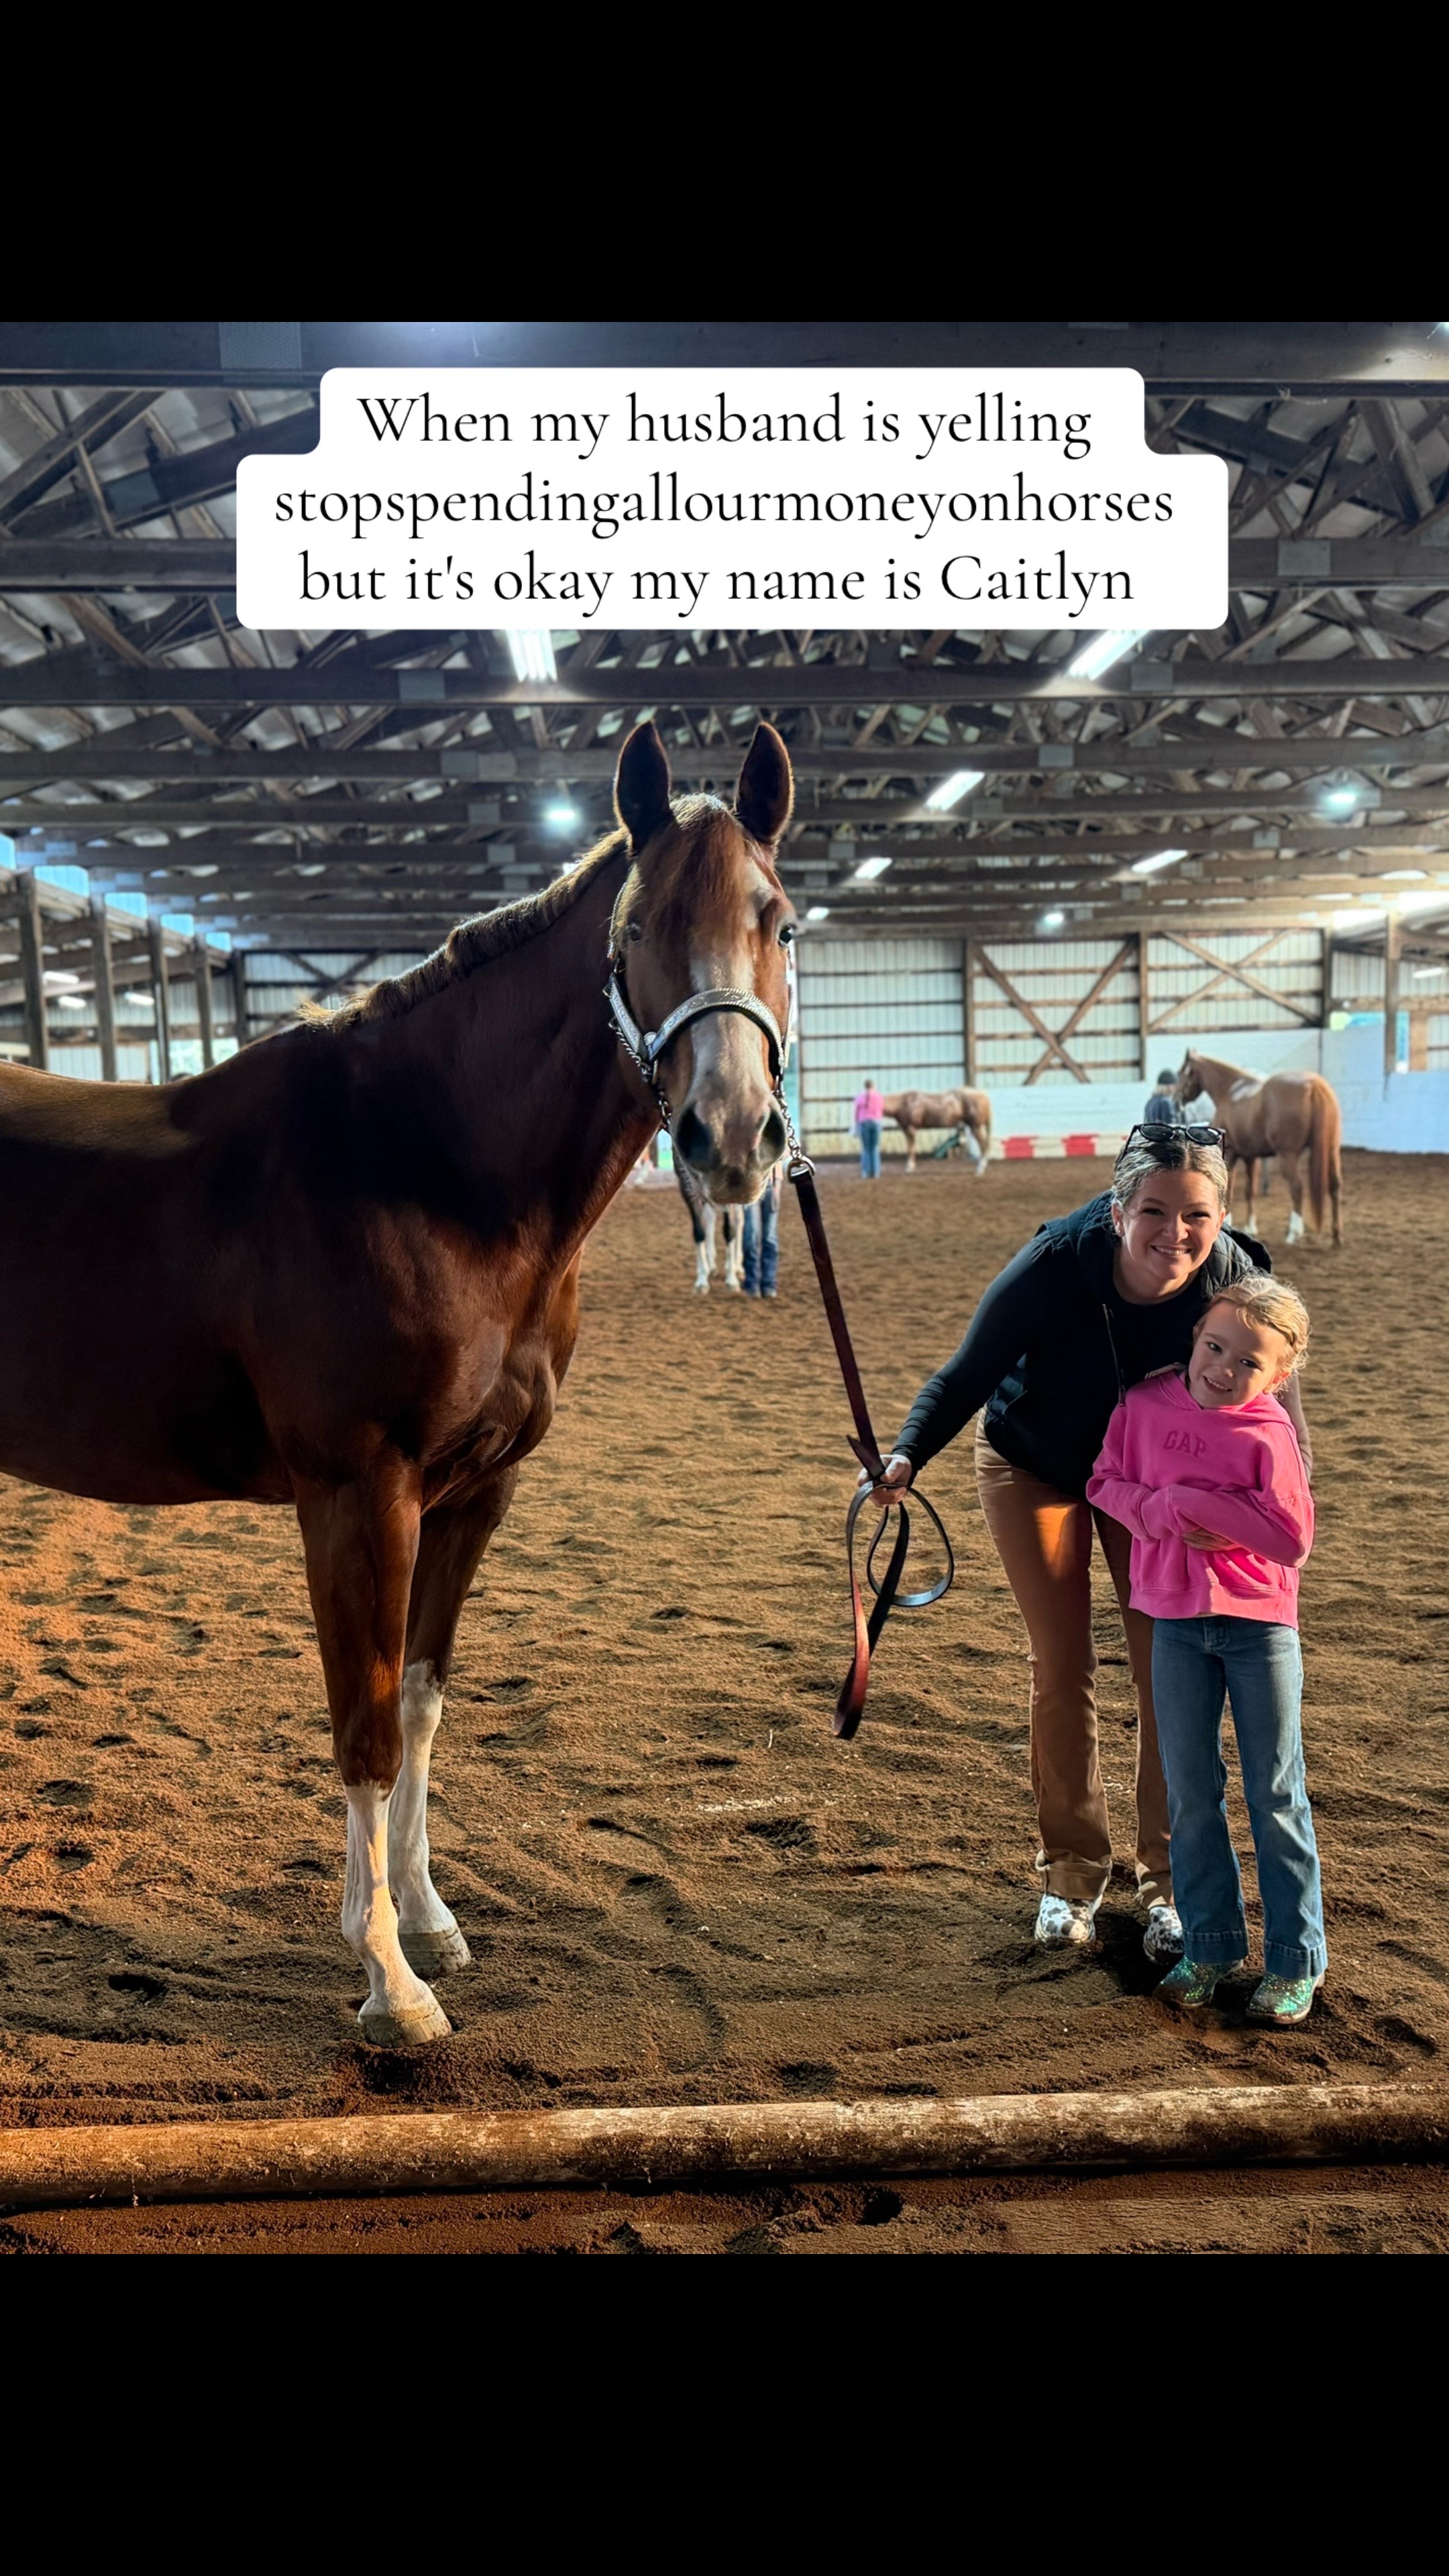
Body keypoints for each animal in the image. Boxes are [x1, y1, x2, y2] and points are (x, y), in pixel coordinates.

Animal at [676, 1161, 743, 1293]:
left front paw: (731, 1280)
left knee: (739, 1221)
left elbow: (729, 1231)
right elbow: (698, 1233)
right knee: (710, 1217)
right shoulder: (687, 1187)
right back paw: (711, 1266)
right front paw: (702, 1280)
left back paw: (737, 1266)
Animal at [880, 1086, 993, 1175]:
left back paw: (980, 1169)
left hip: (976, 1127)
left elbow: (911, 1149)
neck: (904, 1103)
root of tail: (983, 1095)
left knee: (984, 1146)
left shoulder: (910, 1130)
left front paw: (909, 1168)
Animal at [1175, 1049, 1343, 1246]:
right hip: (1332, 1150)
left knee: (1297, 1188)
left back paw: (1294, 1233)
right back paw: (1336, 1236)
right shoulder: (1251, 1156)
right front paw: (1250, 1227)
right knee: (1335, 1186)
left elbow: (1228, 1192)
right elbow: (1250, 1191)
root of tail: (1314, 1085)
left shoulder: (1231, 1154)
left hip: (1288, 1156)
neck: (1229, 1091)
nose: (1176, 1101)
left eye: (1181, 1073)